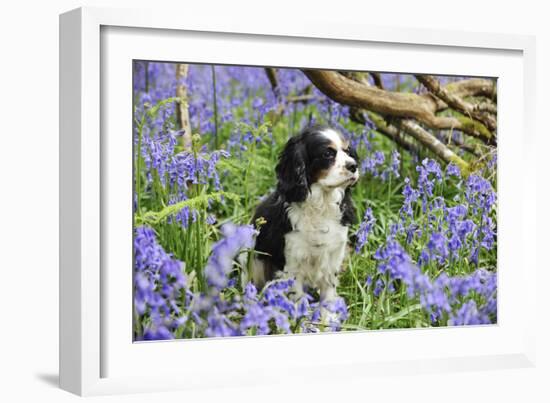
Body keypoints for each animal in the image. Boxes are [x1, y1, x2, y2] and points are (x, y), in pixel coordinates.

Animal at [251, 124, 362, 304]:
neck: (321, 204)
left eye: (347, 151)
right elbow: (296, 295)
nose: (354, 165)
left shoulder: (334, 255)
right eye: (327, 154)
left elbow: (328, 291)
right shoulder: (293, 262)